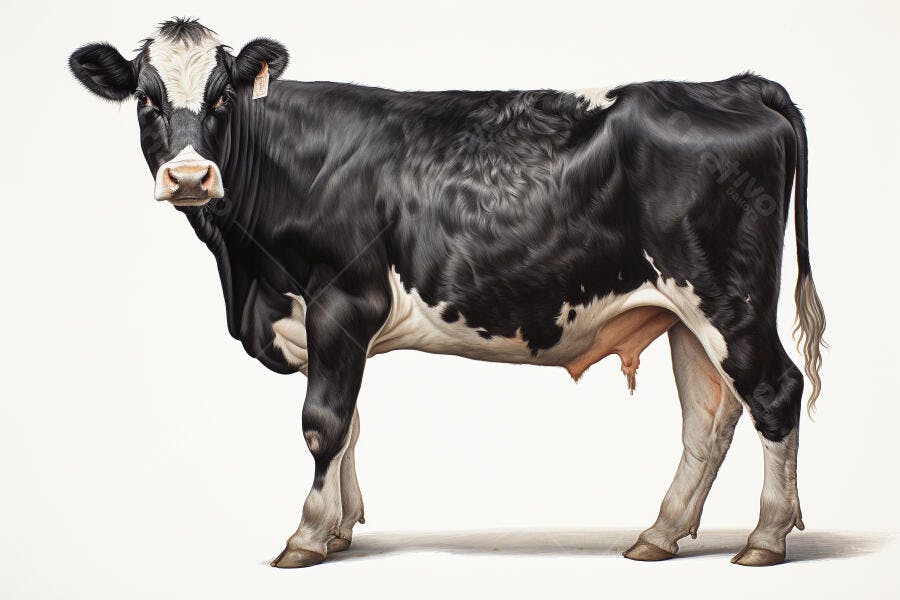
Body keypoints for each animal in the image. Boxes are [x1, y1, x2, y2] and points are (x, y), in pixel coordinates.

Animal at [69, 18, 826, 568]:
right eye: (147, 99)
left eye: (222, 95)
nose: (189, 177)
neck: (247, 274)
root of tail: (732, 85)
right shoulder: (329, 325)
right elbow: (352, 424)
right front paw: (341, 528)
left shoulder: (343, 302)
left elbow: (323, 423)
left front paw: (306, 537)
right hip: (680, 313)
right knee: (709, 418)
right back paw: (660, 536)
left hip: (728, 299)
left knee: (774, 393)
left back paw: (766, 539)